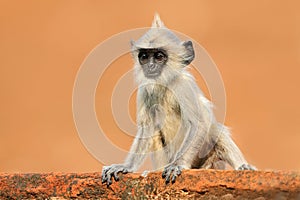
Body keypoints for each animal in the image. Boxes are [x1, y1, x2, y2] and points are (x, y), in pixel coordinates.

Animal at [101, 14, 255, 186]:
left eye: (159, 57)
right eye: (144, 57)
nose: (150, 66)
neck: (165, 84)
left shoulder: (183, 86)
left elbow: (198, 124)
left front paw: (177, 165)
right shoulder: (144, 90)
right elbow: (146, 128)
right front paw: (125, 166)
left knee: (216, 131)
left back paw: (243, 166)